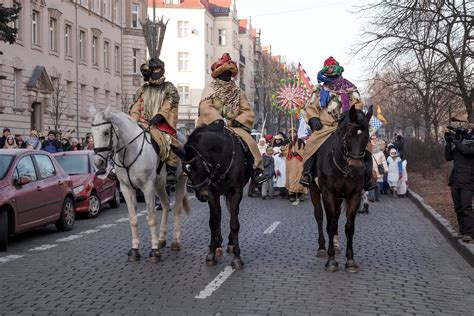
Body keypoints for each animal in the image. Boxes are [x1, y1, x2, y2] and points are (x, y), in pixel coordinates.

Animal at [90, 106, 190, 262]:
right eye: (92, 134)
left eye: (106, 132)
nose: (98, 162)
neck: (132, 150)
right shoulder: (126, 189)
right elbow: (133, 219)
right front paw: (134, 250)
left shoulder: (147, 187)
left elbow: (151, 218)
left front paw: (154, 251)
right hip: (159, 186)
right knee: (166, 206)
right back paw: (161, 239)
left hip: (180, 181)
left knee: (177, 209)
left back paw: (175, 241)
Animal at [171, 122, 252, 270]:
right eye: (185, 170)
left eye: (199, 165)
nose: (202, 194)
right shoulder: (213, 194)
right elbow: (213, 222)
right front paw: (211, 253)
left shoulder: (235, 192)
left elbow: (234, 223)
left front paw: (237, 257)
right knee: (218, 216)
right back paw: (218, 243)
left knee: (233, 214)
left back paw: (230, 243)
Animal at [310, 105, 372, 272]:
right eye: (349, 135)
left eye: (367, 137)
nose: (356, 167)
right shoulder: (328, 194)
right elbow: (330, 225)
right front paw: (331, 261)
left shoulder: (354, 196)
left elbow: (349, 227)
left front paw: (350, 260)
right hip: (314, 190)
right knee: (319, 216)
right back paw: (322, 248)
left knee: (336, 216)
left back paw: (336, 245)